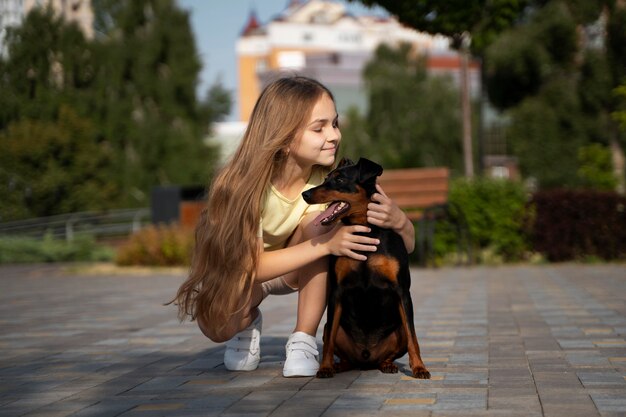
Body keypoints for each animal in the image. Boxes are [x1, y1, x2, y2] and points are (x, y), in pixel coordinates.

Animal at [302, 158, 428, 378]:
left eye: (340, 179)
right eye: (326, 178)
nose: (305, 194)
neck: (365, 230)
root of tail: (366, 360)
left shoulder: (402, 291)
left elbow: (414, 338)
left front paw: (420, 367)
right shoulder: (337, 291)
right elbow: (329, 341)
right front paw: (325, 367)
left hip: (398, 332)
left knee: (397, 346)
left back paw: (388, 365)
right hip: (331, 330)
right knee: (337, 346)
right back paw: (337, 366)